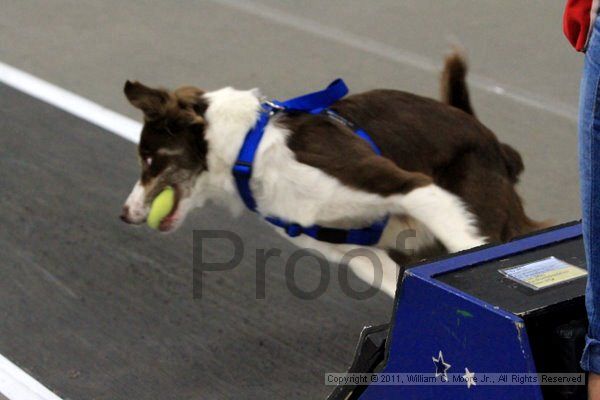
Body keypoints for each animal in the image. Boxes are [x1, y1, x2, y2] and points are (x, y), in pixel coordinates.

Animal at [119, 52, 548, 296]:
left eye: (149, 159)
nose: (124, 214)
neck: (248, 150)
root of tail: (496, 143)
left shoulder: (407, 184)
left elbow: (469, 249)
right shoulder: (353, 251)